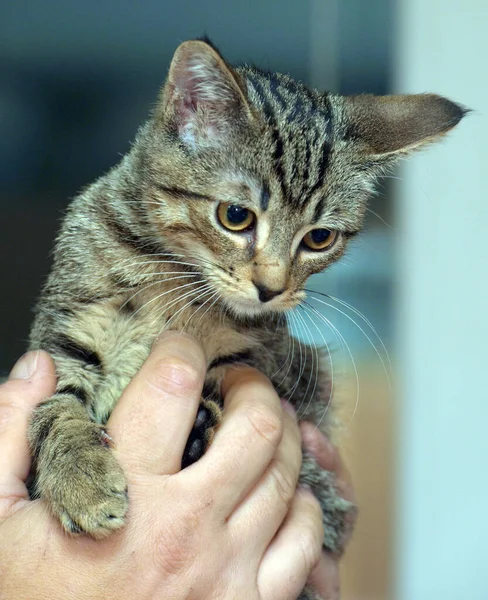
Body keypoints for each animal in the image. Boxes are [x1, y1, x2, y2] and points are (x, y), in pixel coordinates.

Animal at [26, 35, 466, 580]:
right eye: (236, 216)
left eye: (319, 238)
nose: (270, 288)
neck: (172, 276)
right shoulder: (67, 331)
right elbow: (55, 408)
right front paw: (79, 478)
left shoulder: (279, 367)